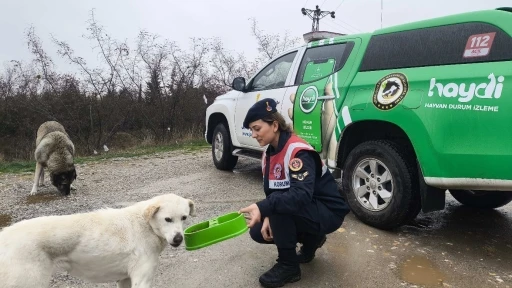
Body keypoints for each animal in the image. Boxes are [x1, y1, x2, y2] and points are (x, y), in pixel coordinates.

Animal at [0, 194, 196, 288]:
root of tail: (5, 235)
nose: (178, 239)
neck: (145, 223)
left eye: (184, 217)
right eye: (167, 219)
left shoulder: (125, 279)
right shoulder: (142, 280)